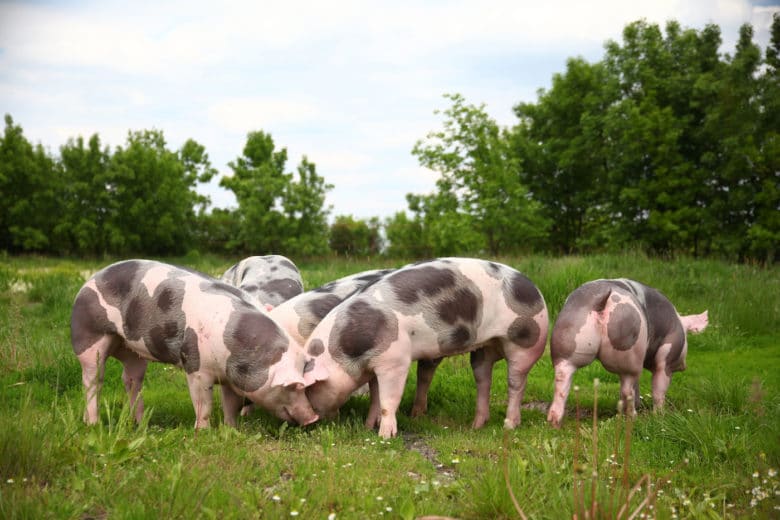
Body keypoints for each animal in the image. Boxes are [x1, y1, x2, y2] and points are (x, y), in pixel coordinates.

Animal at [70, 259, 327, 429]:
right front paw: (202, 431)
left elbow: (231, 404)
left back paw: (142, 424)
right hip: (89, 336)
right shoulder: (195, 366)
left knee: (132, 380)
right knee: (92, 379)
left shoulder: (231, 378)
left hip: (133, 350)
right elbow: (203, 403)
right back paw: (93, 424)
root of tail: (90, 280)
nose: (313, 417)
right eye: (292, 386)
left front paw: (231, 430)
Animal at [302, 258, 549, 438]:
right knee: (483, 380)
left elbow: (388, 400)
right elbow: (375, 397)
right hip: (483, 349)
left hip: (527, 339)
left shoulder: (395, 359)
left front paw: (385, 436)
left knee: (516, 382)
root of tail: (535, 288)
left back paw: (509, 425)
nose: (305, 421)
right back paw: (476, 425)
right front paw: (367, 426)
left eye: (310, 388)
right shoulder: (374, 365)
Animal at [546, 278, 709, 428]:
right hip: (627, 341)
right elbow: (659, 389)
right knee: (627, 389)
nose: (683, 366)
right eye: (687, 336)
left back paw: (555, 422)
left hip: (566, 337)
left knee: (562, 379)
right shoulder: (665, 360)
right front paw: (660, 417)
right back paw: (633, 418)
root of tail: (599, 300)